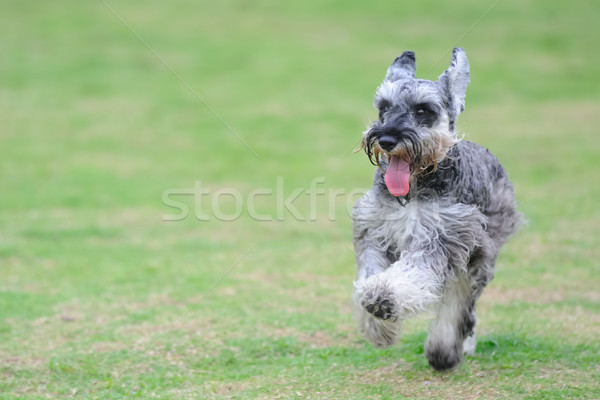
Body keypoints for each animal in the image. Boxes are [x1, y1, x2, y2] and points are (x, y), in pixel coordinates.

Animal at [352, 48, 520, 370]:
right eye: (384, 108)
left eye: (423, 110)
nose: (386, 139)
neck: (413, 191)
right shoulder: (375, 234)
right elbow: (369, 273)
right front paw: (377, 325)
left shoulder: (442, 238)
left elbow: (413, 273)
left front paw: (385, 297)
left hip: (479, 251)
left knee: (460, 297)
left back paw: (446, 348)